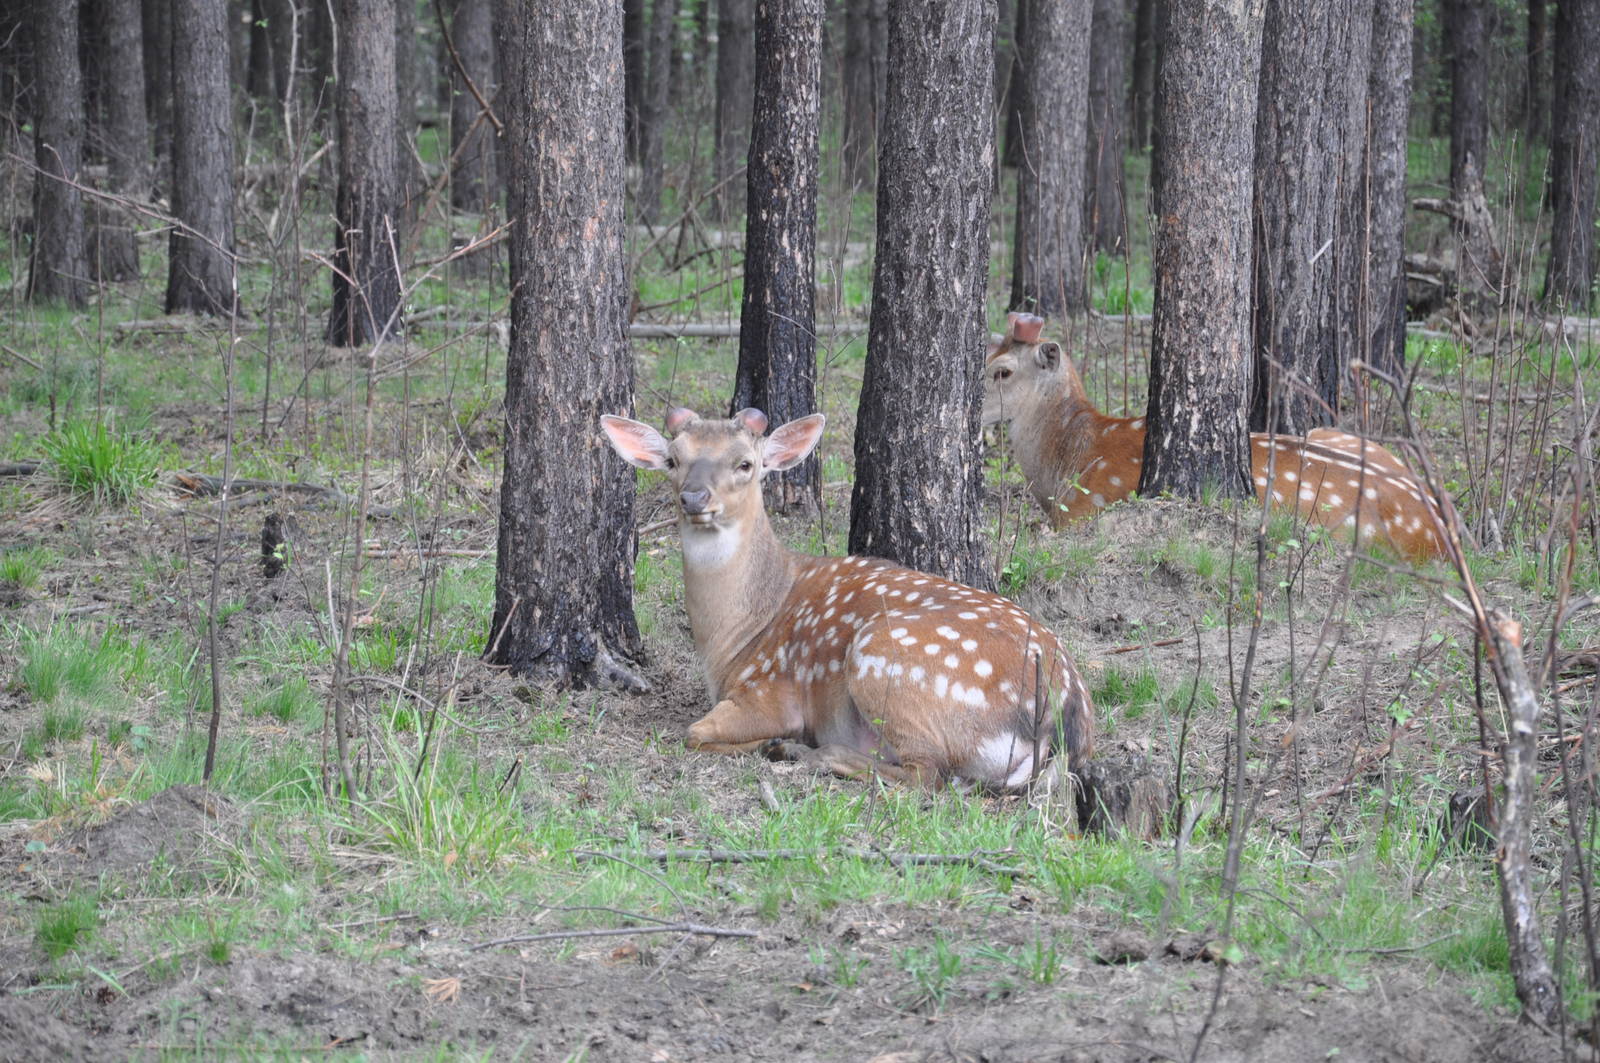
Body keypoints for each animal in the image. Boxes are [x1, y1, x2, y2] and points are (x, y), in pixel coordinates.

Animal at [601, 406, 1094, 791]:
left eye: (745, 464)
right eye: (672, 459)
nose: (694, 497)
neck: (735, 638)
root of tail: (1062, 713)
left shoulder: (768, 691)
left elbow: (695, 732)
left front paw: (776, 742)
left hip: (885, 658)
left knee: (927, 774)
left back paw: (810, 753)